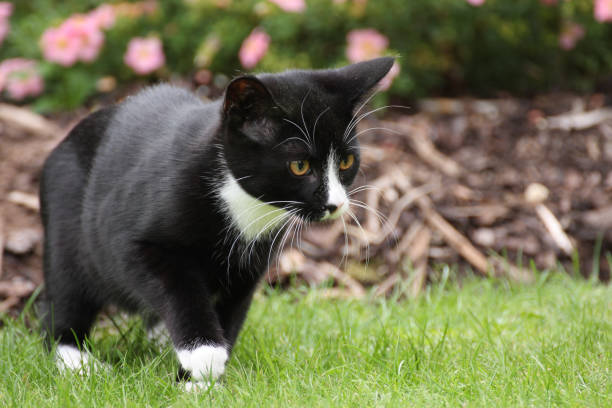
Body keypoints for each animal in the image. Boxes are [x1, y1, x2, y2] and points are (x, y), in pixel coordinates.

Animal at [39, 55, 392, 388]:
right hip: (66, 229)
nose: (335, 204)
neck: (244, 206)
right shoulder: (128, 238)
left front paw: (198, 381)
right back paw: (77, 360)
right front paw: (203, 356)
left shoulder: (248, 267)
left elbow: (231, 313)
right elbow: (177, 286)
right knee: (65, 300)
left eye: (346, 161)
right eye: (300, 166)